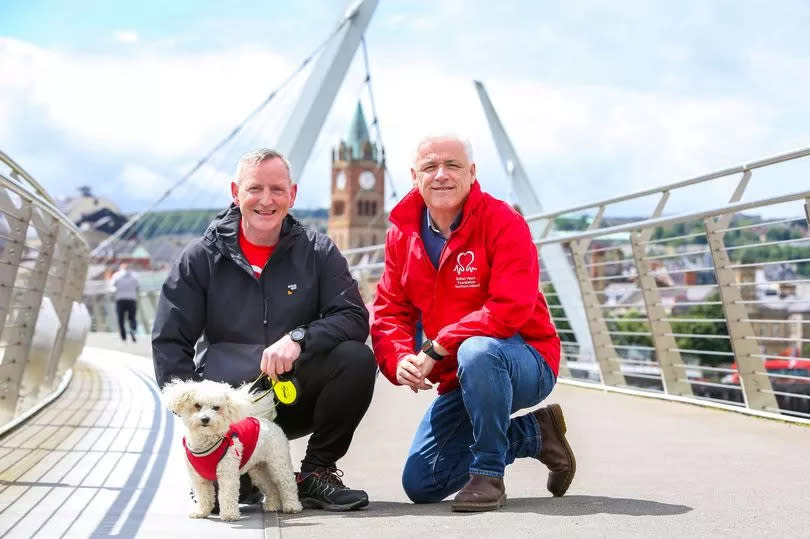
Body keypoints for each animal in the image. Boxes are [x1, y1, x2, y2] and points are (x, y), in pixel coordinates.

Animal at [161, 378, 304, 520]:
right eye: (197, 405)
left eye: (216, 407)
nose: (205, 419)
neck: (206, 441)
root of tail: (265, 420)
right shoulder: (198, 478)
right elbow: (203, 496)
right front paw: (201, 512)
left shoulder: (227, 472)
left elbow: (227, 494)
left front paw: (229, 515)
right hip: (259, 469)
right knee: (270, 486)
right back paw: (272, 505)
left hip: (278, 462)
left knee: (287, 483)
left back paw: (292, 506)